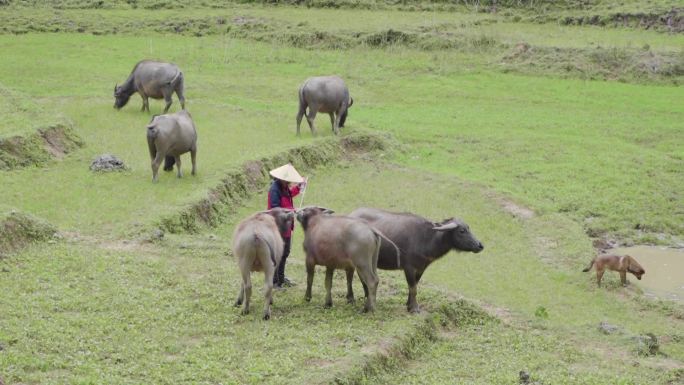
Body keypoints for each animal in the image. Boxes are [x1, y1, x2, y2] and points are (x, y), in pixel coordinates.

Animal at [350, 207, 484, 312]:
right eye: (462, 231)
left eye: (469, 228)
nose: (480, 245)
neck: (427, 239)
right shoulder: (408, 268)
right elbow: (413, 288)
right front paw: (414, 308)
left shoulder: (421, 268)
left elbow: (414, 286)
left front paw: (409, 304)